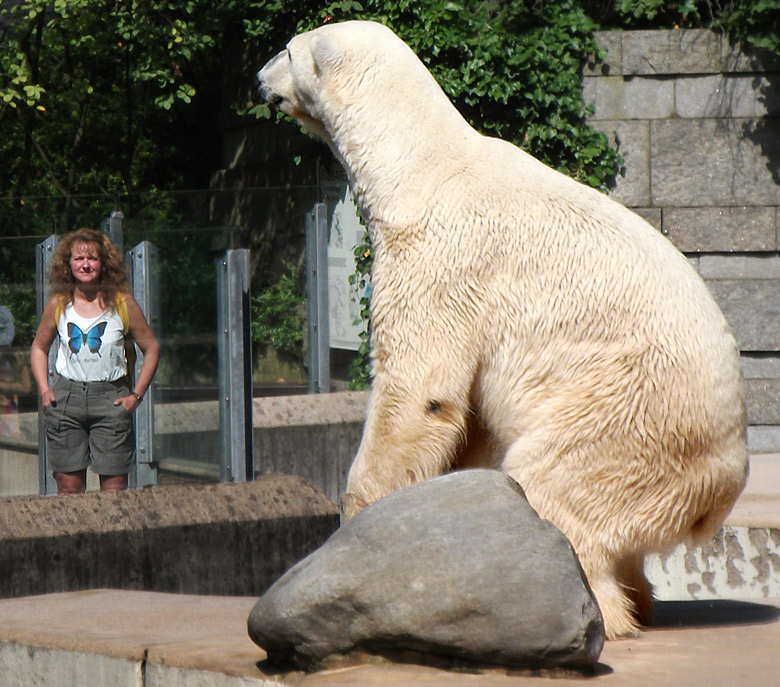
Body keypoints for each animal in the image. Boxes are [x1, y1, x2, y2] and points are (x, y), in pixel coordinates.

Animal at [258, 18, 748, 640]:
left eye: (286, 50)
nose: (258, 78)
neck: (416, 164)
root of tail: (721, 486)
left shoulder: (438, 259)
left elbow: (420, 389)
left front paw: (360, 523)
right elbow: (467, 419)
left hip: (629, 412)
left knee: (555, 491)